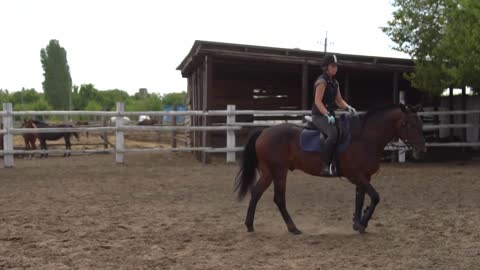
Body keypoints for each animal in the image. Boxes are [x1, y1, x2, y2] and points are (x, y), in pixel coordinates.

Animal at [234, 104, 426, 235]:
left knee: (256, 192)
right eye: (407, 124)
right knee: (279, 199)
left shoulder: (364, 176)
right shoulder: (356, 175)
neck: (364, 138)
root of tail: (264, 132)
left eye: (420, 124)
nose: (421, 150)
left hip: (269, 172)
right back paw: (293, 228)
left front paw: (357, 223)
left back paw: (249, 225)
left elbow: (360, 198)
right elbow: (375, 197)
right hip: (279, 171)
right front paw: (363, 223)